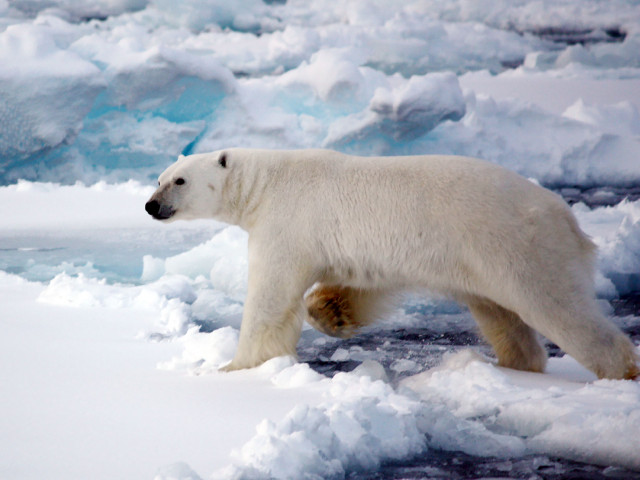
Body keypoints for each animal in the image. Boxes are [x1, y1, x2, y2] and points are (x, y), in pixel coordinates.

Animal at [146, 148, 640, 380]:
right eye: (160, 177)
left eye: (180, 180)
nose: (151, 205)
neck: (265, 183)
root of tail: (568, 220)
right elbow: (360, 282)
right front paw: (331, 313)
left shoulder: (286, 223)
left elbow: (271, 297)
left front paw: (235, 367)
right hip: (484, 259)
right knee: (500, 314)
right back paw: (512, 366)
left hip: (519, 245)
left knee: (557, 307)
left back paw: (618, 371)